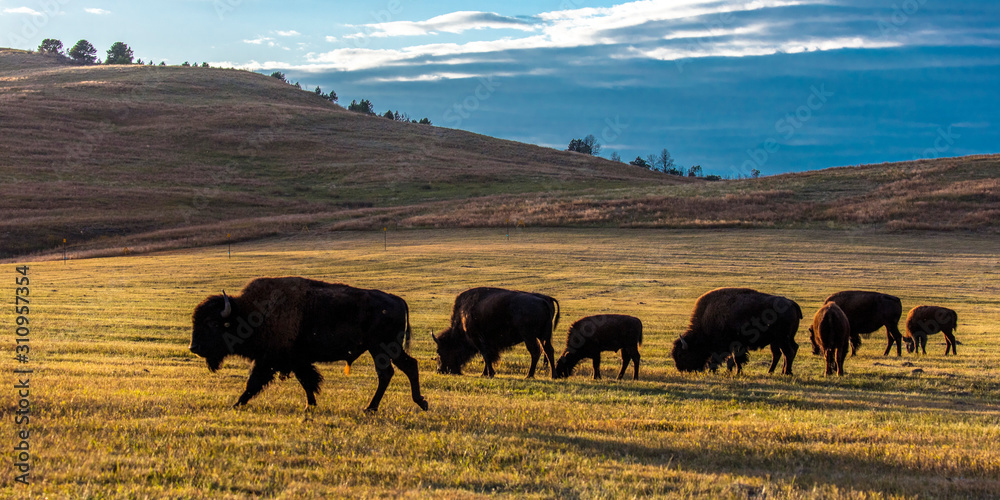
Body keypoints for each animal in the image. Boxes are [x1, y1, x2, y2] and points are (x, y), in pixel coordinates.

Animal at [189, 276, 428, 412]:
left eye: (212, 323)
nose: (194, 348)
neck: (249, 314)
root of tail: (397, 300)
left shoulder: (270, 360)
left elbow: (253, 383)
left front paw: (236, 404)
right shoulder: (295, 361)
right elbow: (306, 381)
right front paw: (310, 405)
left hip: (383, 348)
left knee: (392, 371)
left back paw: (373, 408)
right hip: (383, 349)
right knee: (402, 368)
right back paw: (415, 403)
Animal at [436, 288, 564, 376]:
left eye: (441, 351)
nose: (440, 370)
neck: (463, 314)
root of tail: (543, 300)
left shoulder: (477, 338)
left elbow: (486, 355)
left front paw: (490, 373)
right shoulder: (487, 342)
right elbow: (487, 356)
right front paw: (485, 373)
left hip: (529, 336)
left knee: (536, 351)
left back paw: (529, 375)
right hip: (544, 336)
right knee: (548, 350)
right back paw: (553, 375)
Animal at [672, 288, 804, 374]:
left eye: (681, 354)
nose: (681, 369)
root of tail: (791, 303)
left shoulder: (732, 344)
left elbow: (733, 358)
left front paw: (733, 372)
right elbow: (732, 359)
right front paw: (731, 371)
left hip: (782, 339)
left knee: (788, 352)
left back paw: (786, 373)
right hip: (780, 340)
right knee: (783, 352)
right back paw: (774, 371)